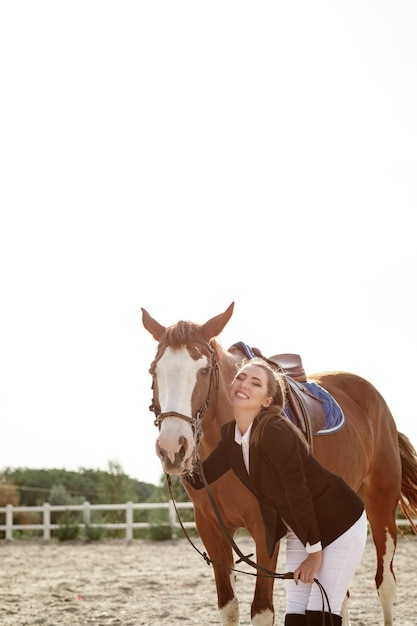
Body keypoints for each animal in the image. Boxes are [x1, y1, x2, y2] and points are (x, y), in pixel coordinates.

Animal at [141, 302, 416, 624]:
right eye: (153, 371)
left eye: (205, 370)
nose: (173, 448)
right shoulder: (211, 530)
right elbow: (228, 606)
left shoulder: (265, 531)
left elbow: (261, 611)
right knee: (339, 595)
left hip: (381, 505)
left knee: (385, 584)